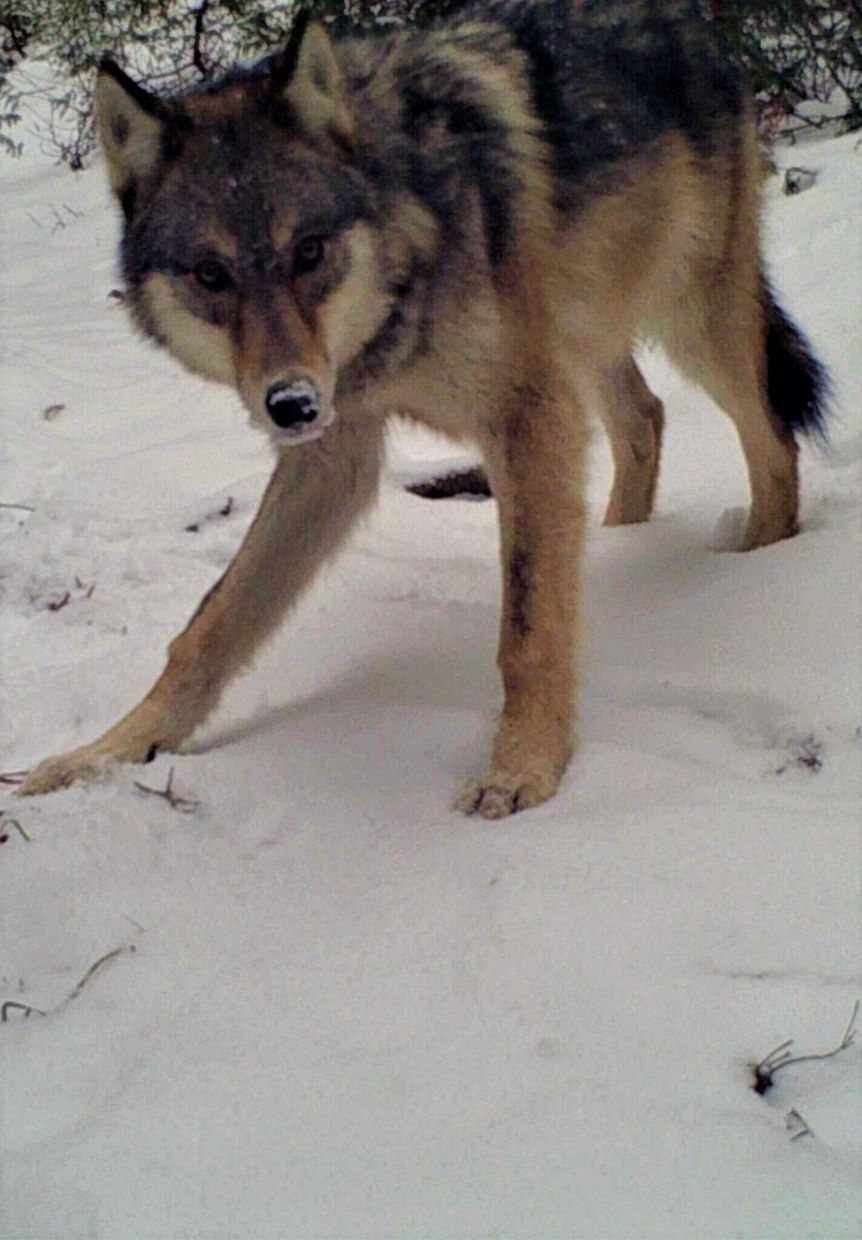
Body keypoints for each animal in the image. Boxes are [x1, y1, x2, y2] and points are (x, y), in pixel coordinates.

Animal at [20, 0, 827, 816]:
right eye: (211, 274)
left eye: (308, 251)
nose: (290, 404)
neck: (412, 252)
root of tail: (691, 21)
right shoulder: (335, 451)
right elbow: (211, 624)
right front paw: (108, 753)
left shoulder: (526, 415)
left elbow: (527, 629)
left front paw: (523, 771)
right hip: (588, 335)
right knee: (645, 419)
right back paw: (621, 541)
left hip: (693, 323)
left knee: (772, 440)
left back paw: (759, 560)